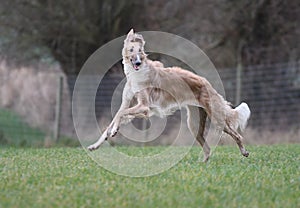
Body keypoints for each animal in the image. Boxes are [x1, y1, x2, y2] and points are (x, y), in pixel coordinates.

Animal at [87, 28, 251, 162]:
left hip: (216, 119)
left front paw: (114, 130)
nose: (138, 62)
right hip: (194, 124)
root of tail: (207, 83)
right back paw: (202, 164)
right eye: (131, 50)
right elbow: (115, 117)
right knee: (208, 148)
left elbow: (120, 115)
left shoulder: (144, 107)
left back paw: (244, 152)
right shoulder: (129, 104)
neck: (136, 74)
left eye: (140, 51)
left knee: (237, 135)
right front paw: (96, 144)